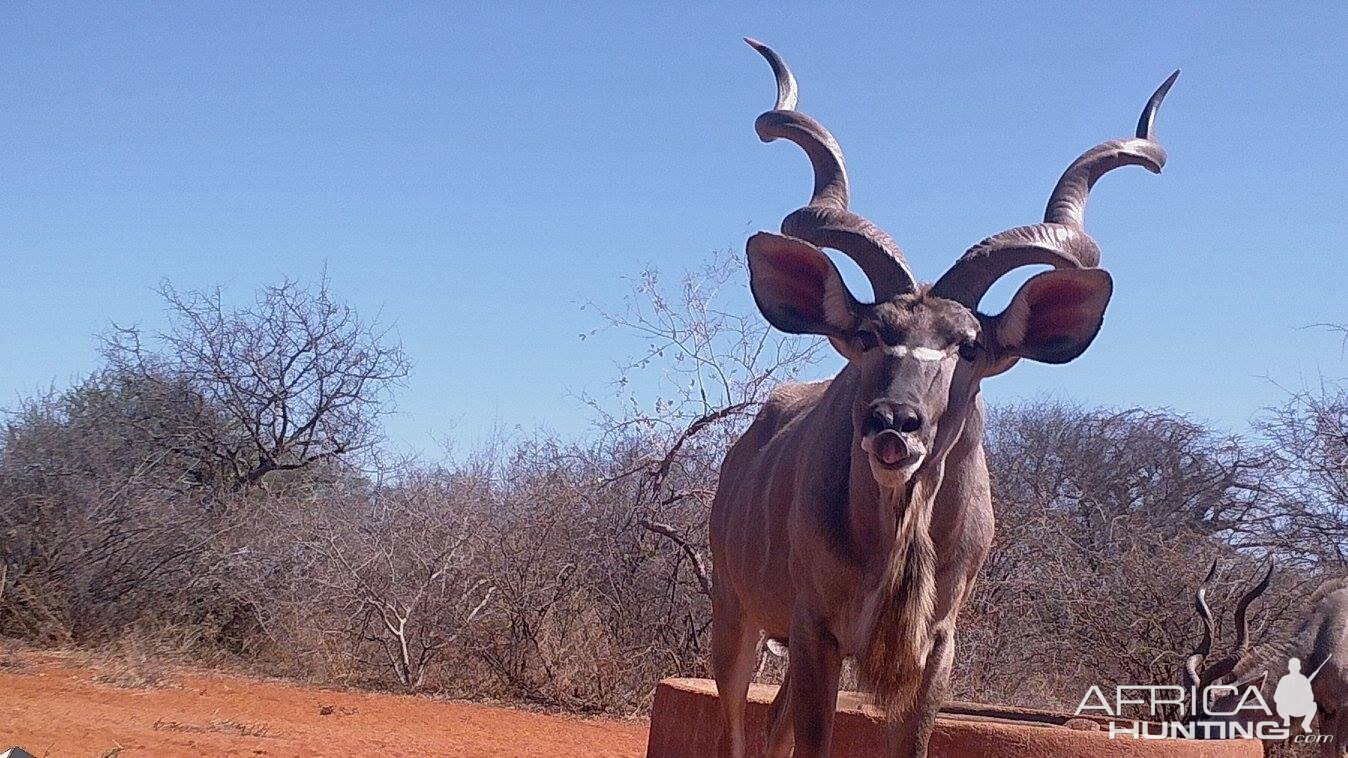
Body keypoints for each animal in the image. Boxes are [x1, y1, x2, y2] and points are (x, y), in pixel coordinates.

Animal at [711, 38, 1175, 749]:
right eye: (870, 333)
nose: (893, 424)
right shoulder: (817, 630)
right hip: (737, 616)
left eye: (969, 346)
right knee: (737, 723)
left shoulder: (935, 647)